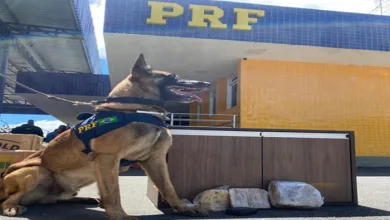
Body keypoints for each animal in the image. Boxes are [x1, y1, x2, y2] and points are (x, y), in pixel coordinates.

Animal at [0, 53, 210, 220]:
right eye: (172, 76)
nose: (206, 83)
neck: (138, 109)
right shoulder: (108, 159)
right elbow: (113, 192)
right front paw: (120, 216)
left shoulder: (155, 160)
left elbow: (168, 187)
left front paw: (182, 208)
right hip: (37, 171)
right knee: (9, 200)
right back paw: (11, 207)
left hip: (66, 187)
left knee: (53, 200)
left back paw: (84, 199)